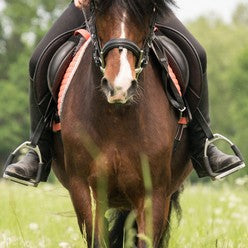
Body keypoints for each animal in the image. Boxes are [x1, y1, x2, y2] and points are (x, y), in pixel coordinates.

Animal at [51, 0, 192, 247]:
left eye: (147, 15)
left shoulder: (154, 194)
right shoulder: (84, 188)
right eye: (99, 12)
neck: (117, 119)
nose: (120, 86)